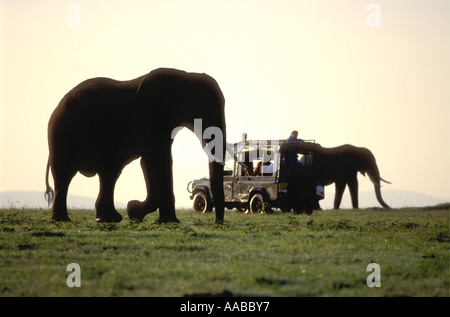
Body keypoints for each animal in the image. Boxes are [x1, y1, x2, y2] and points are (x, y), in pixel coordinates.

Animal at [44, 68, 227, 223]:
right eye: (203, 108)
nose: (217, 222)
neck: (185, 76)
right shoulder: (153, 121)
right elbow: (157, 160)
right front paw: (140, 213)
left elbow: (150, 161)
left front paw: (139, 214)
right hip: (62, 134)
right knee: (65, 175)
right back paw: (64, 220)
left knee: (109, 173)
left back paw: (108, 219)